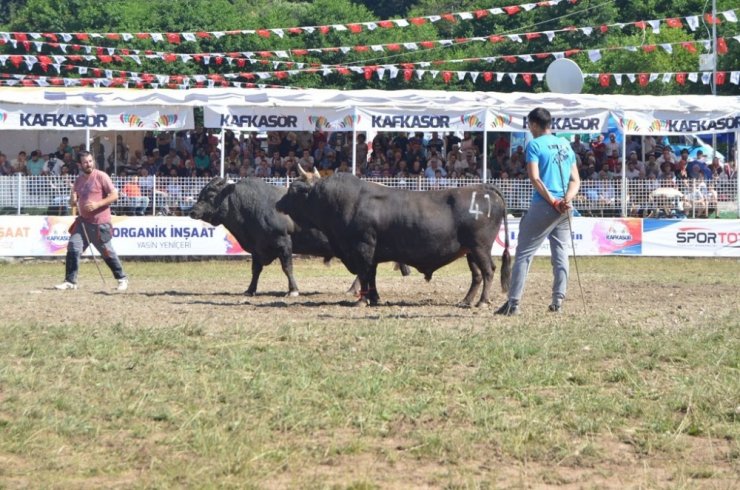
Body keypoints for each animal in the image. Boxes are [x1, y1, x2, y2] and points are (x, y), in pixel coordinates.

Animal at [189, 178, 410, 296]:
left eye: (210, 195)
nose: (192, 211)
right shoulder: (258, 248)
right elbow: (255, 270)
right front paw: (250, 290)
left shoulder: (283, 242)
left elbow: (287, 267)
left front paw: (293, 290)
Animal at [274, 168, 512, 306]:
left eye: (294, 189)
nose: (277, 204)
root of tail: (483, 188)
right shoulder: (371, 252)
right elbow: (371, 275)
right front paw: (374, 298)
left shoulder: (363, 247)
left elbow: (364, 273)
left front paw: (362, 301)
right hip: (469, 250)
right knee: (477, 275)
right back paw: (466, 301)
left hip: (480, 247)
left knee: (488, 271)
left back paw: (482, 302)